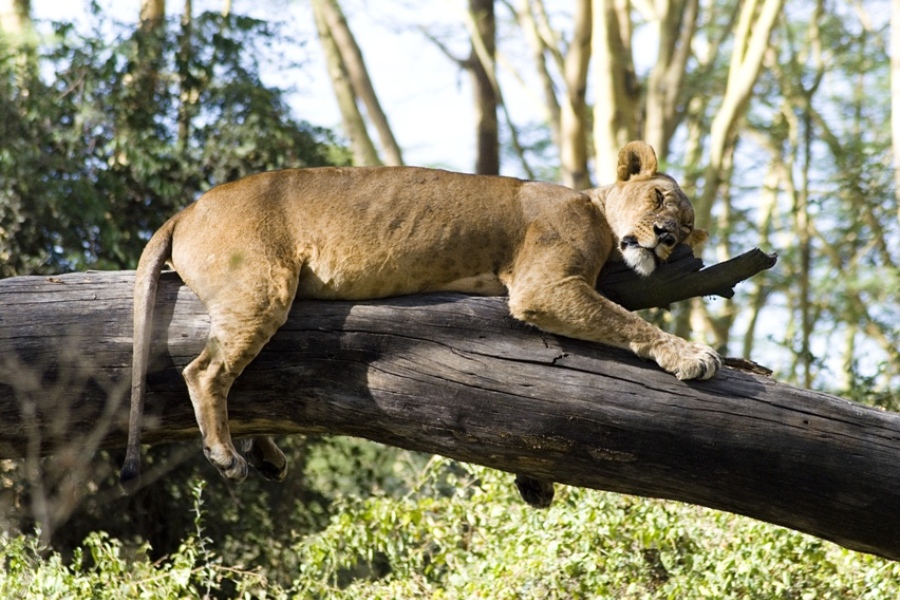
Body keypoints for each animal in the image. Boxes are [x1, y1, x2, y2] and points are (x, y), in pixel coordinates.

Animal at [121, 141, 720, 494]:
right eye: (657, 196)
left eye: (688, 228)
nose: (667, 238)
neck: (594, 209)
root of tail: (187, 208)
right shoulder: (542, 285)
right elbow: (627, 320)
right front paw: (693, 355)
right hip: (262, 286)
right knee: (204, 370)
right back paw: (226, 456)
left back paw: (263, 453)